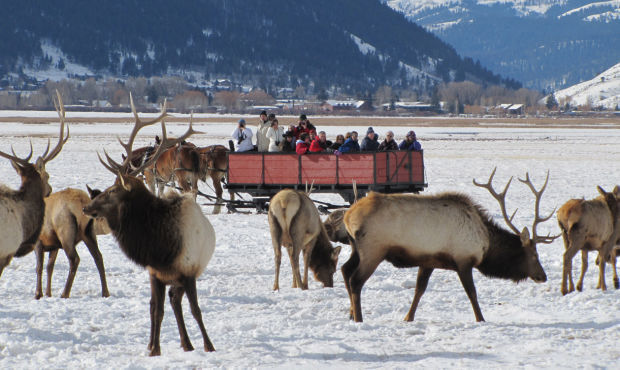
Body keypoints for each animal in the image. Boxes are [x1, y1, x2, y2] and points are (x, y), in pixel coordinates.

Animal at [82, 97, 218, 356]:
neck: (161, 248)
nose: (86, 207)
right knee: (173, 302)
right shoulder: (155, 273)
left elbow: (196, 309)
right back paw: (185, 343)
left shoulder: (188, 272)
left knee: (177, 301)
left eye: (112, 191)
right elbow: (155, 309)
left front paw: (209, 345)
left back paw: (189, 343)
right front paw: (153, 348)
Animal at [342, 169, 560, 322]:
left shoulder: (428, 260)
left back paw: (351, 314)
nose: (543, 276)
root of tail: (348, 215)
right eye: (534, 254)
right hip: (373, 250)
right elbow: (472, 292)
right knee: (355, 280)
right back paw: (359, 318)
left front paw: (408, 317)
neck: (486, 244)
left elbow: (419, 289)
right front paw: (481, 319)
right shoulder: (463, 260)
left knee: (345, 270)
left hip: (356, 248)